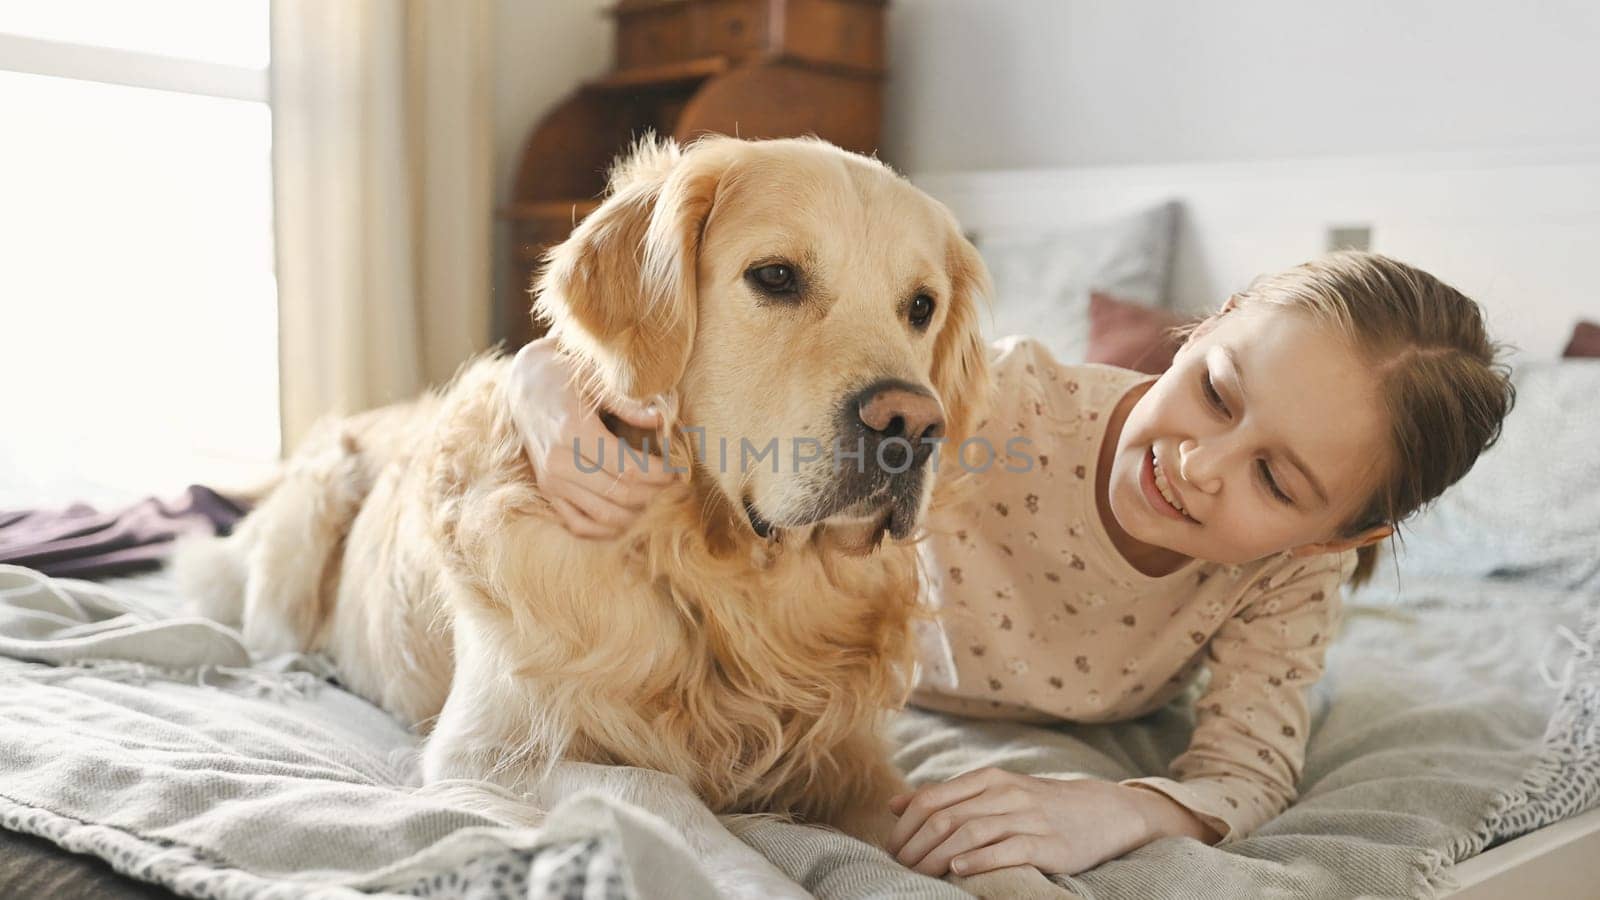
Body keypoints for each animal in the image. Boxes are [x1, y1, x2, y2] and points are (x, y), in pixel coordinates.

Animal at [181, 134, 992, 845]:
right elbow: (657, 791)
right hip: (310, 515)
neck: (713, 577)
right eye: (775, 277)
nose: (913, 423)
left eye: (921, 307)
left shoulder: (846, 759)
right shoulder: (485, 752)